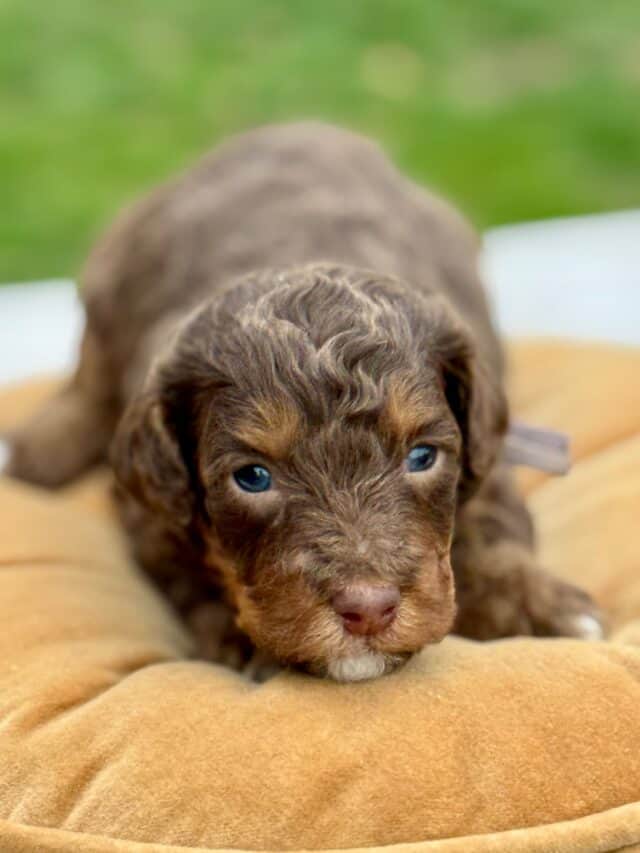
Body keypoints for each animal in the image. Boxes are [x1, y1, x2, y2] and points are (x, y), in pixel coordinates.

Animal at [6, 121, 604, 680]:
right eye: (252, 477)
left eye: (422, 457)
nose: (368, 609)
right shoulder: (151, 516)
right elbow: (190, 578)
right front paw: (243, 640)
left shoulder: (487, 452)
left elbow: (487, 527)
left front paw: (538, 605)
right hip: (113, 272)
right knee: (88, 376)